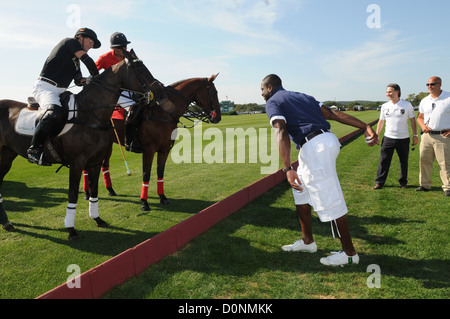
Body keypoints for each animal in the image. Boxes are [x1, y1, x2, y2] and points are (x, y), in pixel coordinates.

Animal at [0, 49, 162, 240]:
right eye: (139, 69)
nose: (160, 91)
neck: (90, 115)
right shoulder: (77, 163)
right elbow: (72, 194)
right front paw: (71, 229)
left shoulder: (94, 163)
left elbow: (94, 191)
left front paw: (98, 219)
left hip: (7, 155)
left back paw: (6, 223)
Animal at [84, 75, 221, 212]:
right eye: (214, 93)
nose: (218, 117)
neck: (165, 113)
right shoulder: (148, 150)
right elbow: (146, 174)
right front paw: (144, 202)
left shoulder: (165, 149)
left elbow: (160, 172)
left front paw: (163, 197)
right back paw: (87, 193)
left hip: (108, 145)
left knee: (104, 165)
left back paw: (110, 190)